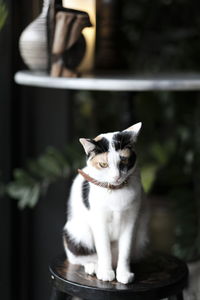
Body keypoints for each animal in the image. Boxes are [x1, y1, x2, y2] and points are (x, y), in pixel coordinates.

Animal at [62, 123, 148, 284]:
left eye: (124, 160)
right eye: (103, 164)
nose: (116, 176)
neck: (116, 191)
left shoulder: (131, 220)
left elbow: (125, 251)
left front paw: (124, 273)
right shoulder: (99, 221)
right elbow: (104, 249)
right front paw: (106, 273)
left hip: (141, 236)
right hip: (77, 233)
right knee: (80, 258)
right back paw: (93, 267)